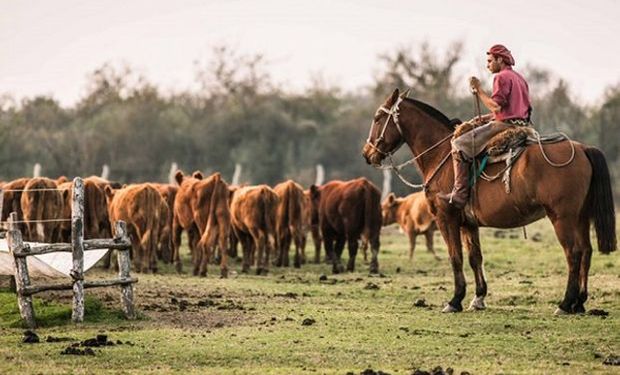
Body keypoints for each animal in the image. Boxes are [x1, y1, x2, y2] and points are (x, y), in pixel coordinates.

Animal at [364, 89, 616, 314]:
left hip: (562, 218)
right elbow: (475, 258)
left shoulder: (447, 219)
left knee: (573, 253)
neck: (442, 155)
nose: (367, 153)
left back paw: (565, 303)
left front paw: (455, 300)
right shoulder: (468, 224)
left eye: (377, 118)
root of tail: (583, 148)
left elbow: (455, 257)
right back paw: (580, 302)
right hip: (581, 217)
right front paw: (478, 298)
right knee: (586, 251)